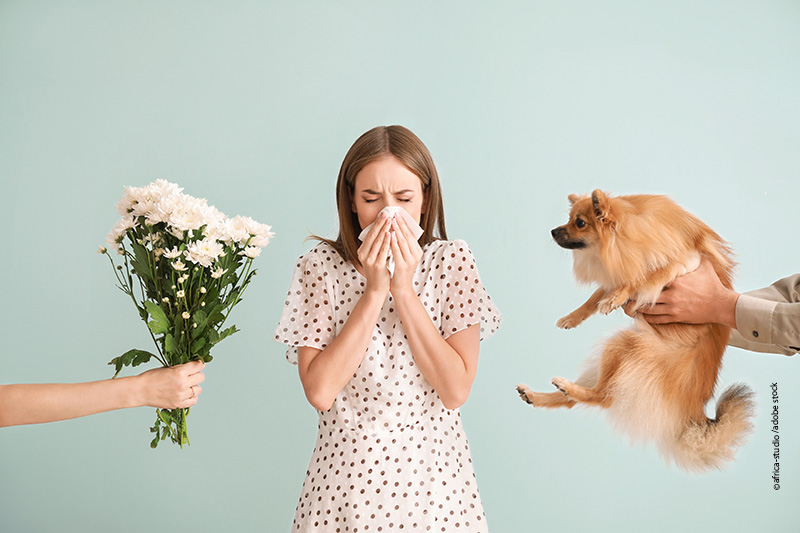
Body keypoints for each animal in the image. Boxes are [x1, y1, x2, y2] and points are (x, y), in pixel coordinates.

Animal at [520, 190, 756, 470]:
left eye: (579, 223)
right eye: (568, 219)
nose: (554, 231)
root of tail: (693, 411)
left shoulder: (684, 262)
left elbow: (643, 277)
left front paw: (615, 298)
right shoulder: (618, 270)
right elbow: (595, 297)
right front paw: (573, 317)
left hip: (626, 345)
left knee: (604, 397)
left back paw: (567, 387)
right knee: (576, 401)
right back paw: (536, 395)